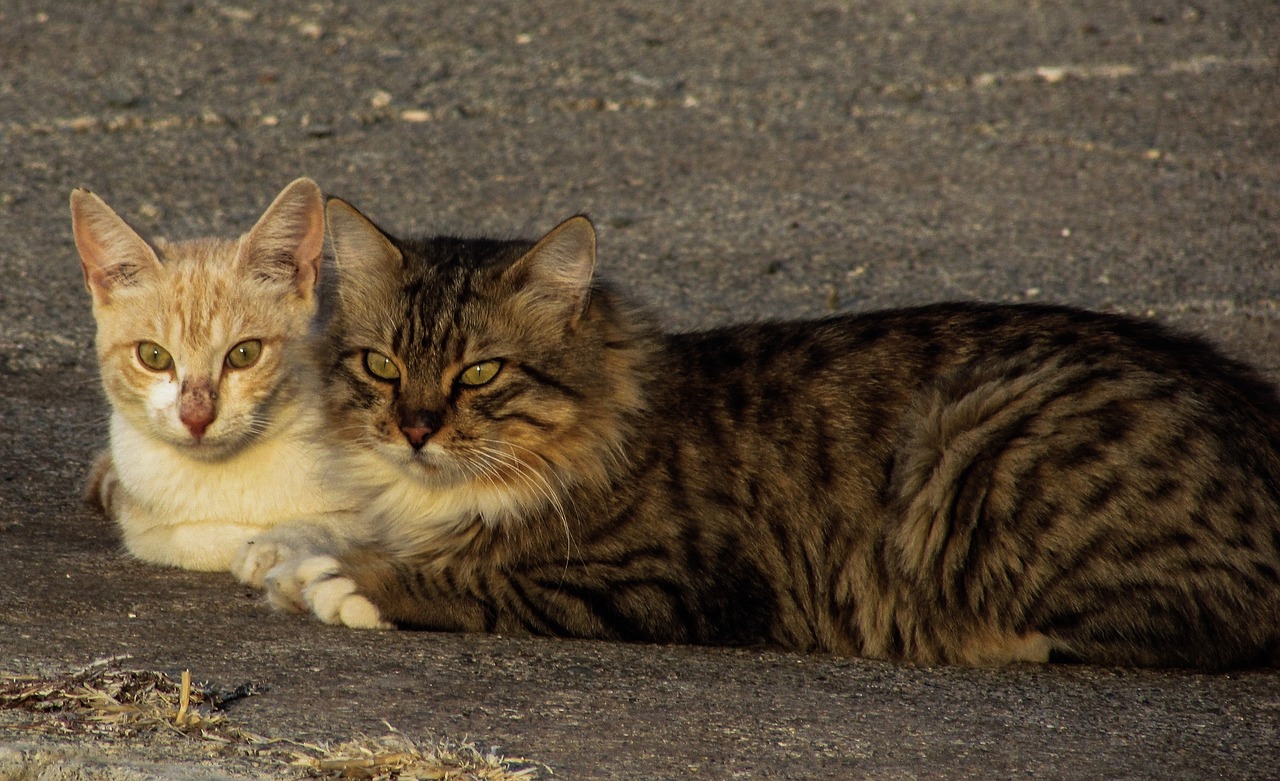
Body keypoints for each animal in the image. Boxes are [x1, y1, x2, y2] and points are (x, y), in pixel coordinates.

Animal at [74, 176, 355, 578]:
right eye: (153, 356)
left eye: (244, 354)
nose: (196, 417)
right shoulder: (145, 517)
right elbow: (174, 538)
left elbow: (343, 523)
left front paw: (276, 547)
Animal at [257, 197, 1280, 665]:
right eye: (382, 366)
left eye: (480, 373)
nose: (416, 427)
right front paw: (289, 552)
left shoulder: (657, 582)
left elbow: (471, 578)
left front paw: (346, 581)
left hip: (978, 442)